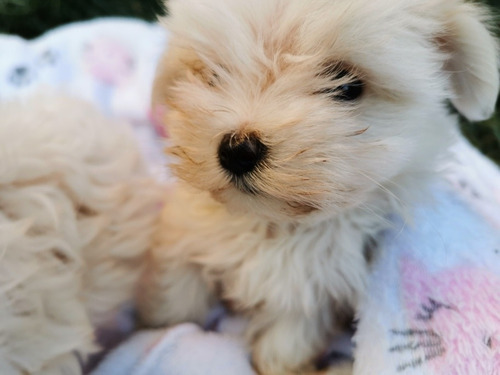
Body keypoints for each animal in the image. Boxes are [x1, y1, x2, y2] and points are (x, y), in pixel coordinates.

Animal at [140, 1, 500, 374]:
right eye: (213, 75)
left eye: (348, 87)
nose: (237, 150)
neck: (273, 223)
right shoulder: (184, 231)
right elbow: (177, 291)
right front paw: (160, 325)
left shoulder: (312, 286)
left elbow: (288, 335)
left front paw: (279, 363)